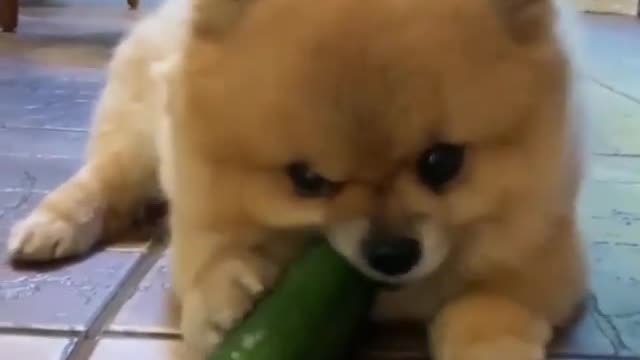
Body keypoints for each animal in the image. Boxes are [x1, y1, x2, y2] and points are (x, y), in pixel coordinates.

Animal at [7, 0, 588, 358]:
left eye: (442, 163)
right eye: (307, 181)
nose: (392, 253)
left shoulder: (541, 259)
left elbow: (493, 307)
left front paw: (491, 344)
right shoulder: (199, 212)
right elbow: (208, 261)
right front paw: (222, 294)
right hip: (135, 140)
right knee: (102, 180)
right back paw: (50, 227)